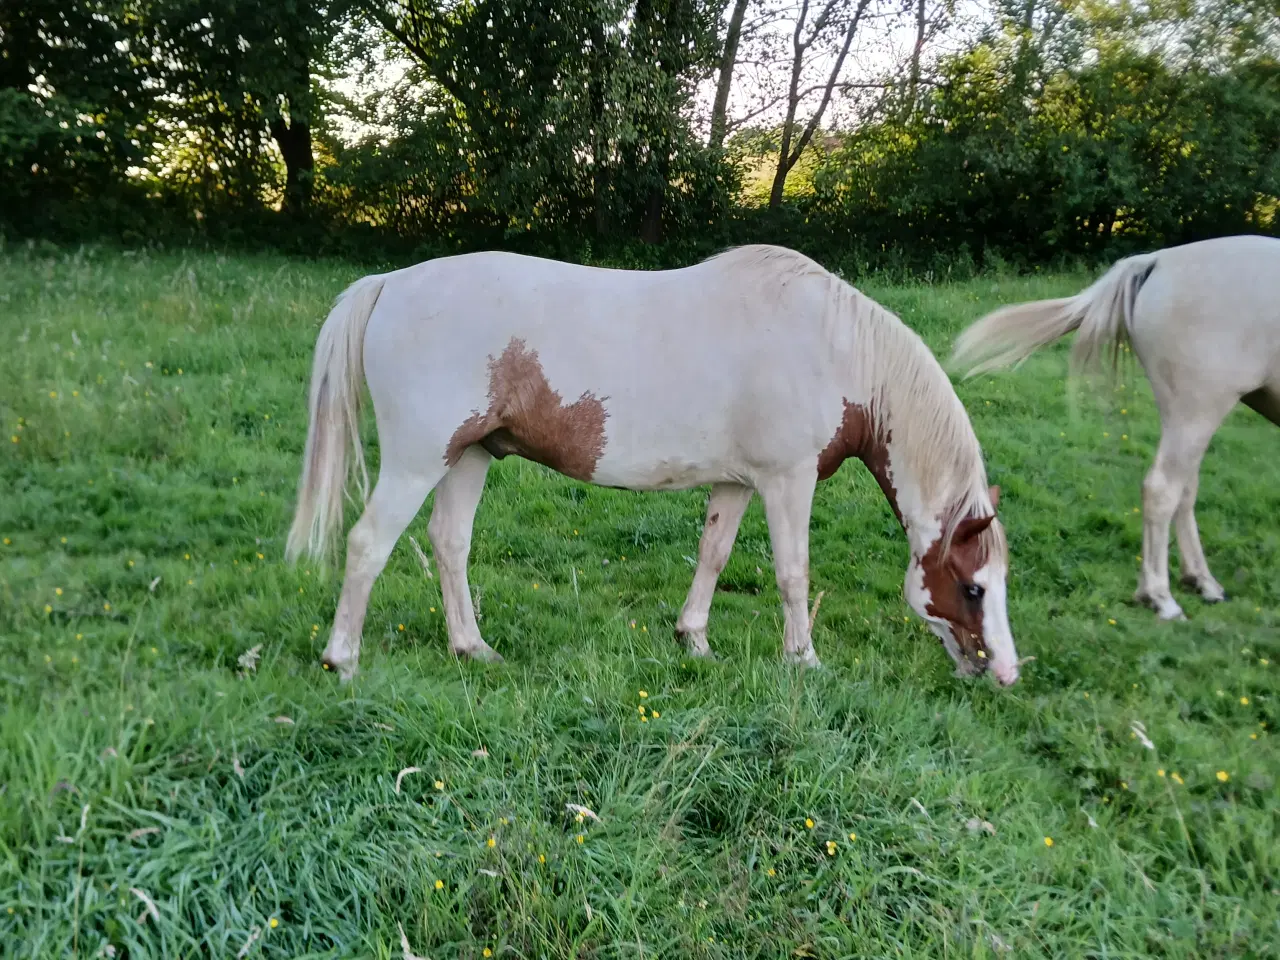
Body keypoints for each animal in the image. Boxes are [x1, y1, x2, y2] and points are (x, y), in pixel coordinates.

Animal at [282, 244, 1018, 686]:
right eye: (973, 588)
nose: (1005, 672)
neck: (835, 348)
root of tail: (391, 283)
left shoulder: (738, 481)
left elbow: (714, 555)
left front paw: (694, 639)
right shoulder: (789, 480)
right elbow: (793, 573)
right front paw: (804, 660)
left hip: (467, 456)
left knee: (449, 543)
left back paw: (472, 647)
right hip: (419, 460)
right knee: (367, 545)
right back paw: (342, 660)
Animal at [952, 236, 1280, 619]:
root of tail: (1156, 260)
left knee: (1184, 488)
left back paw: (1201, 582)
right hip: (1199, 405)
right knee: (1164, 489)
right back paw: (1162, 597)